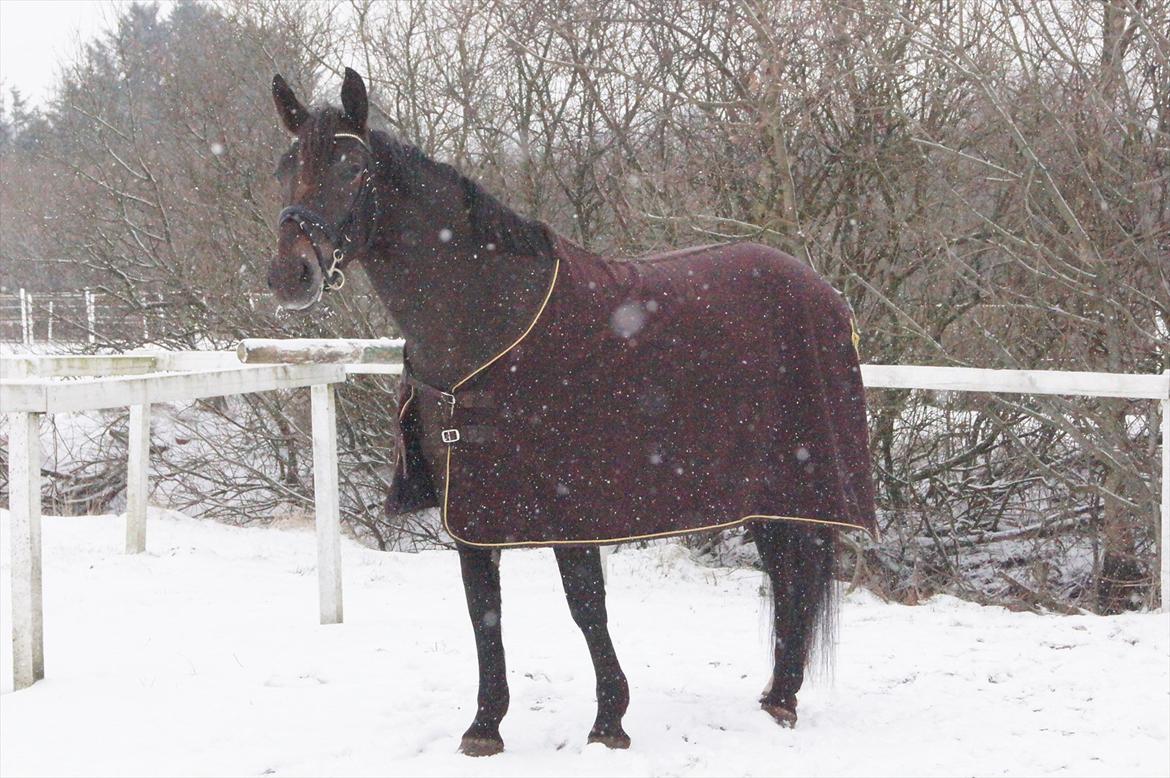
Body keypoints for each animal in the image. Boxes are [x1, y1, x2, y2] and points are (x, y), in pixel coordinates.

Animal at [263, 68, 870, 758]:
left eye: (352, 166)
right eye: (285, 168)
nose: (289, 275)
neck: (489, 323)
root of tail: (825, 292)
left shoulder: (568, 503)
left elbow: (586, 605)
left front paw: (609, 722)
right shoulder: (471, 505)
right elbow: (483, 610)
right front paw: (485, 727)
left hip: (796, 486)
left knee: (795, 583)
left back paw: (783, 703)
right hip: (769, 497)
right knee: (789, 580)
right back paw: (775, 699)